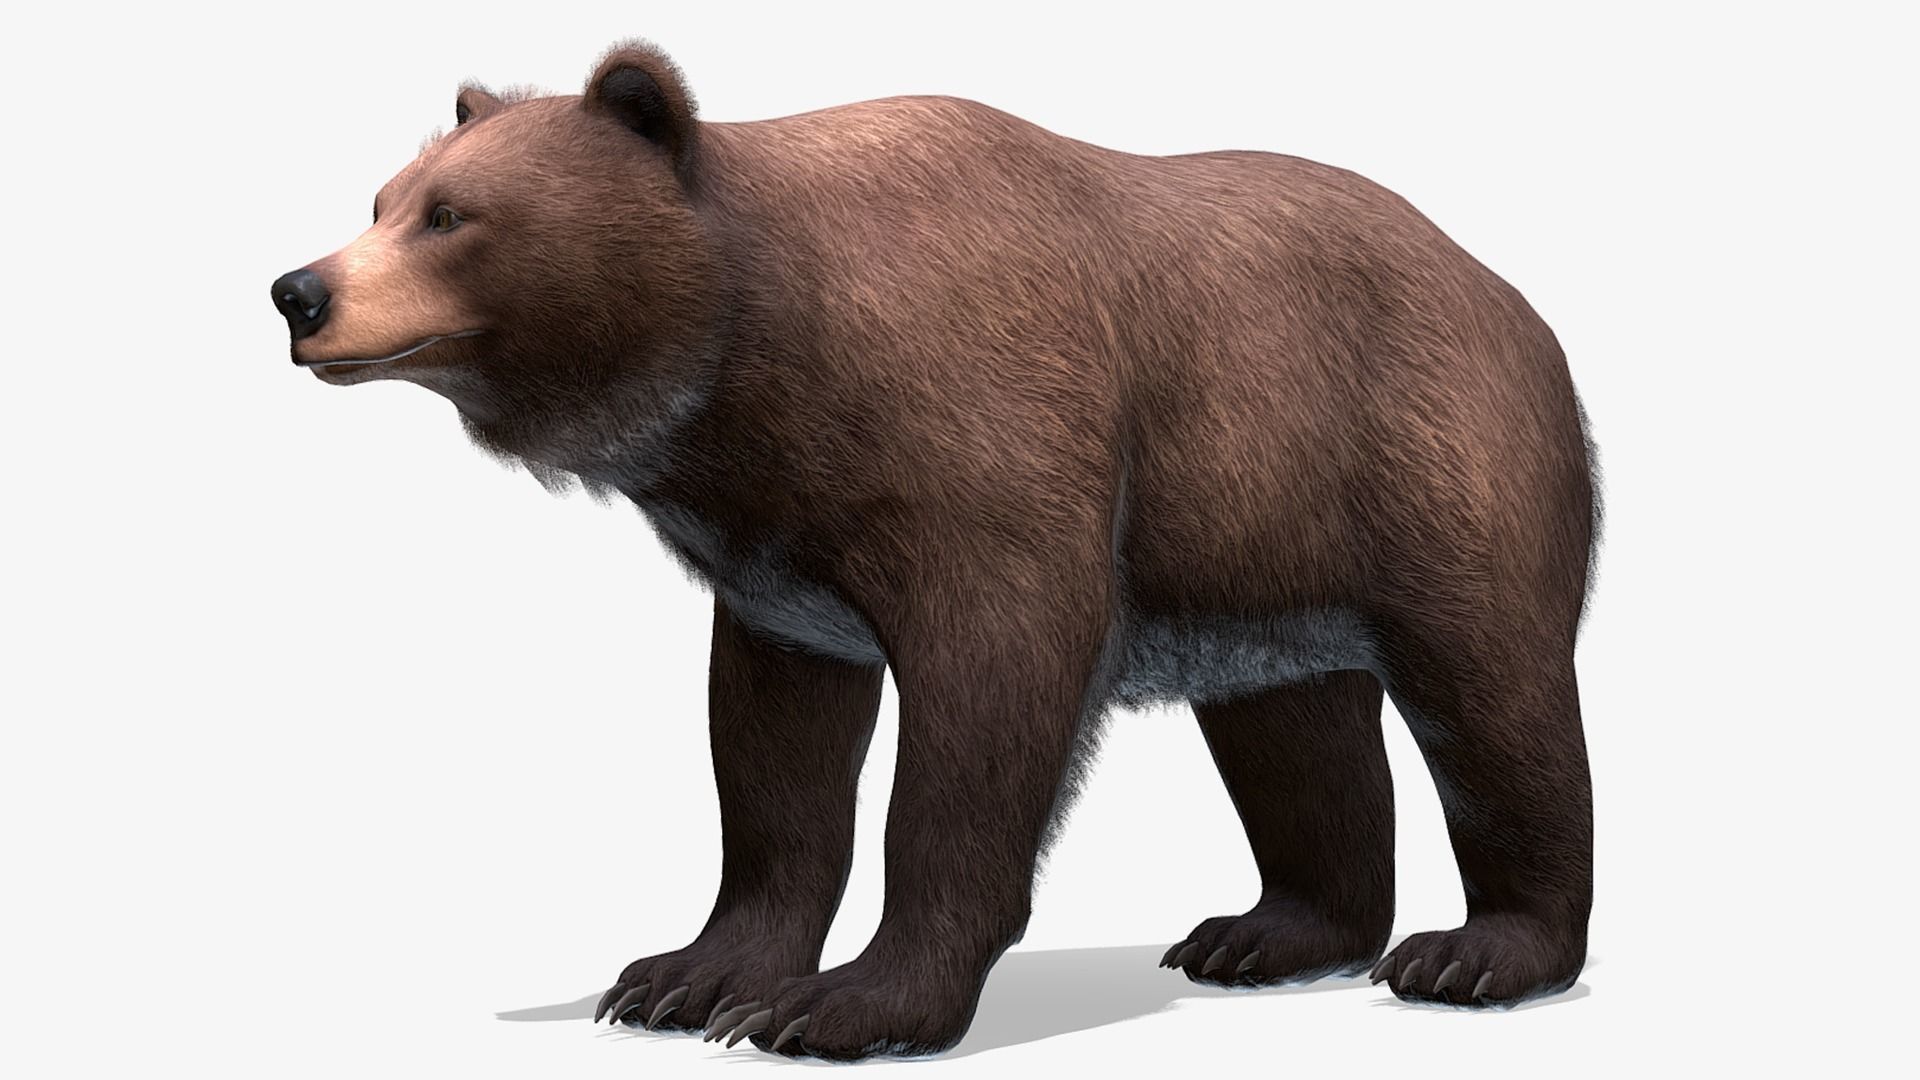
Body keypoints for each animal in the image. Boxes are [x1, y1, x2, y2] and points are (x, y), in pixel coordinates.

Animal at [271, 40, 1599, 1059]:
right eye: (383, 195)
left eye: (451, 215)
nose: (299, 291)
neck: (756, 358)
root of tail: (1514, 299)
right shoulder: (782, 553)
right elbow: (773, 753)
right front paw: (684, 976)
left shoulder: (983, 450)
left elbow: (984, 714)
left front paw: (848, 1003)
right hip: (1261, 548)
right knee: (1294, 727)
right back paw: (1266, 932)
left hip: (1423, 460)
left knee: (1494, 697)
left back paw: (1477, 952)